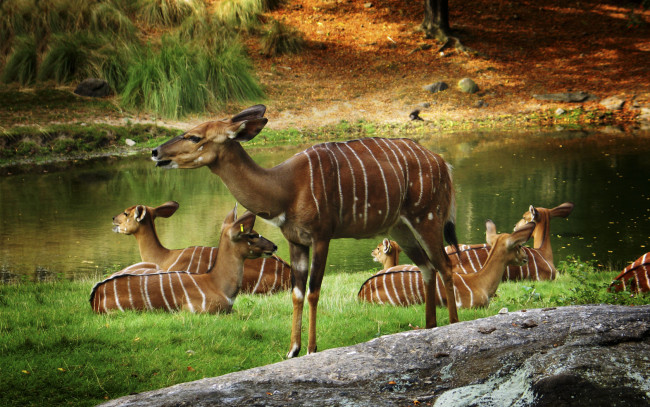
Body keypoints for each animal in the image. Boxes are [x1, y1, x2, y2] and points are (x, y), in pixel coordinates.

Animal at [150, 104, 458, 356]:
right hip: (400, 228)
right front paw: (292, 350)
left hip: (428, 218)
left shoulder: (321, 236)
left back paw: (454, 324)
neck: (284, 187)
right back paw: (430, 326)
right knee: (428, 267)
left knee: (446, 265)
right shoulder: (295, 240)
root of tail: (443, 163)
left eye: (194, 136)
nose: (155, 152)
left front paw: (311, 348)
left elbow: (313, 291)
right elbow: (296, 293)